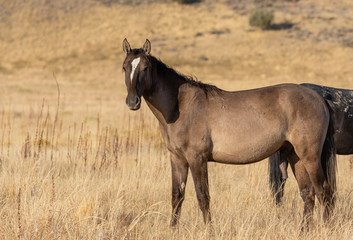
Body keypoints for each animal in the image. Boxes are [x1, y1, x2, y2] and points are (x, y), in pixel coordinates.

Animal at [121, 39, 336, 229]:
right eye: (124, 67)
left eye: (146, 68)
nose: (132, 102)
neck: (180, 106)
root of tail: (320, 98)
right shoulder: (177, 159)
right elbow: (177, 196)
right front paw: (173, 230)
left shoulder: (197, 158)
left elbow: (203, 196)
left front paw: (209, 230)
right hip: (295, 156)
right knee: (308, 193)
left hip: (310, 156)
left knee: (323, 191)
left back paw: (326, 228)